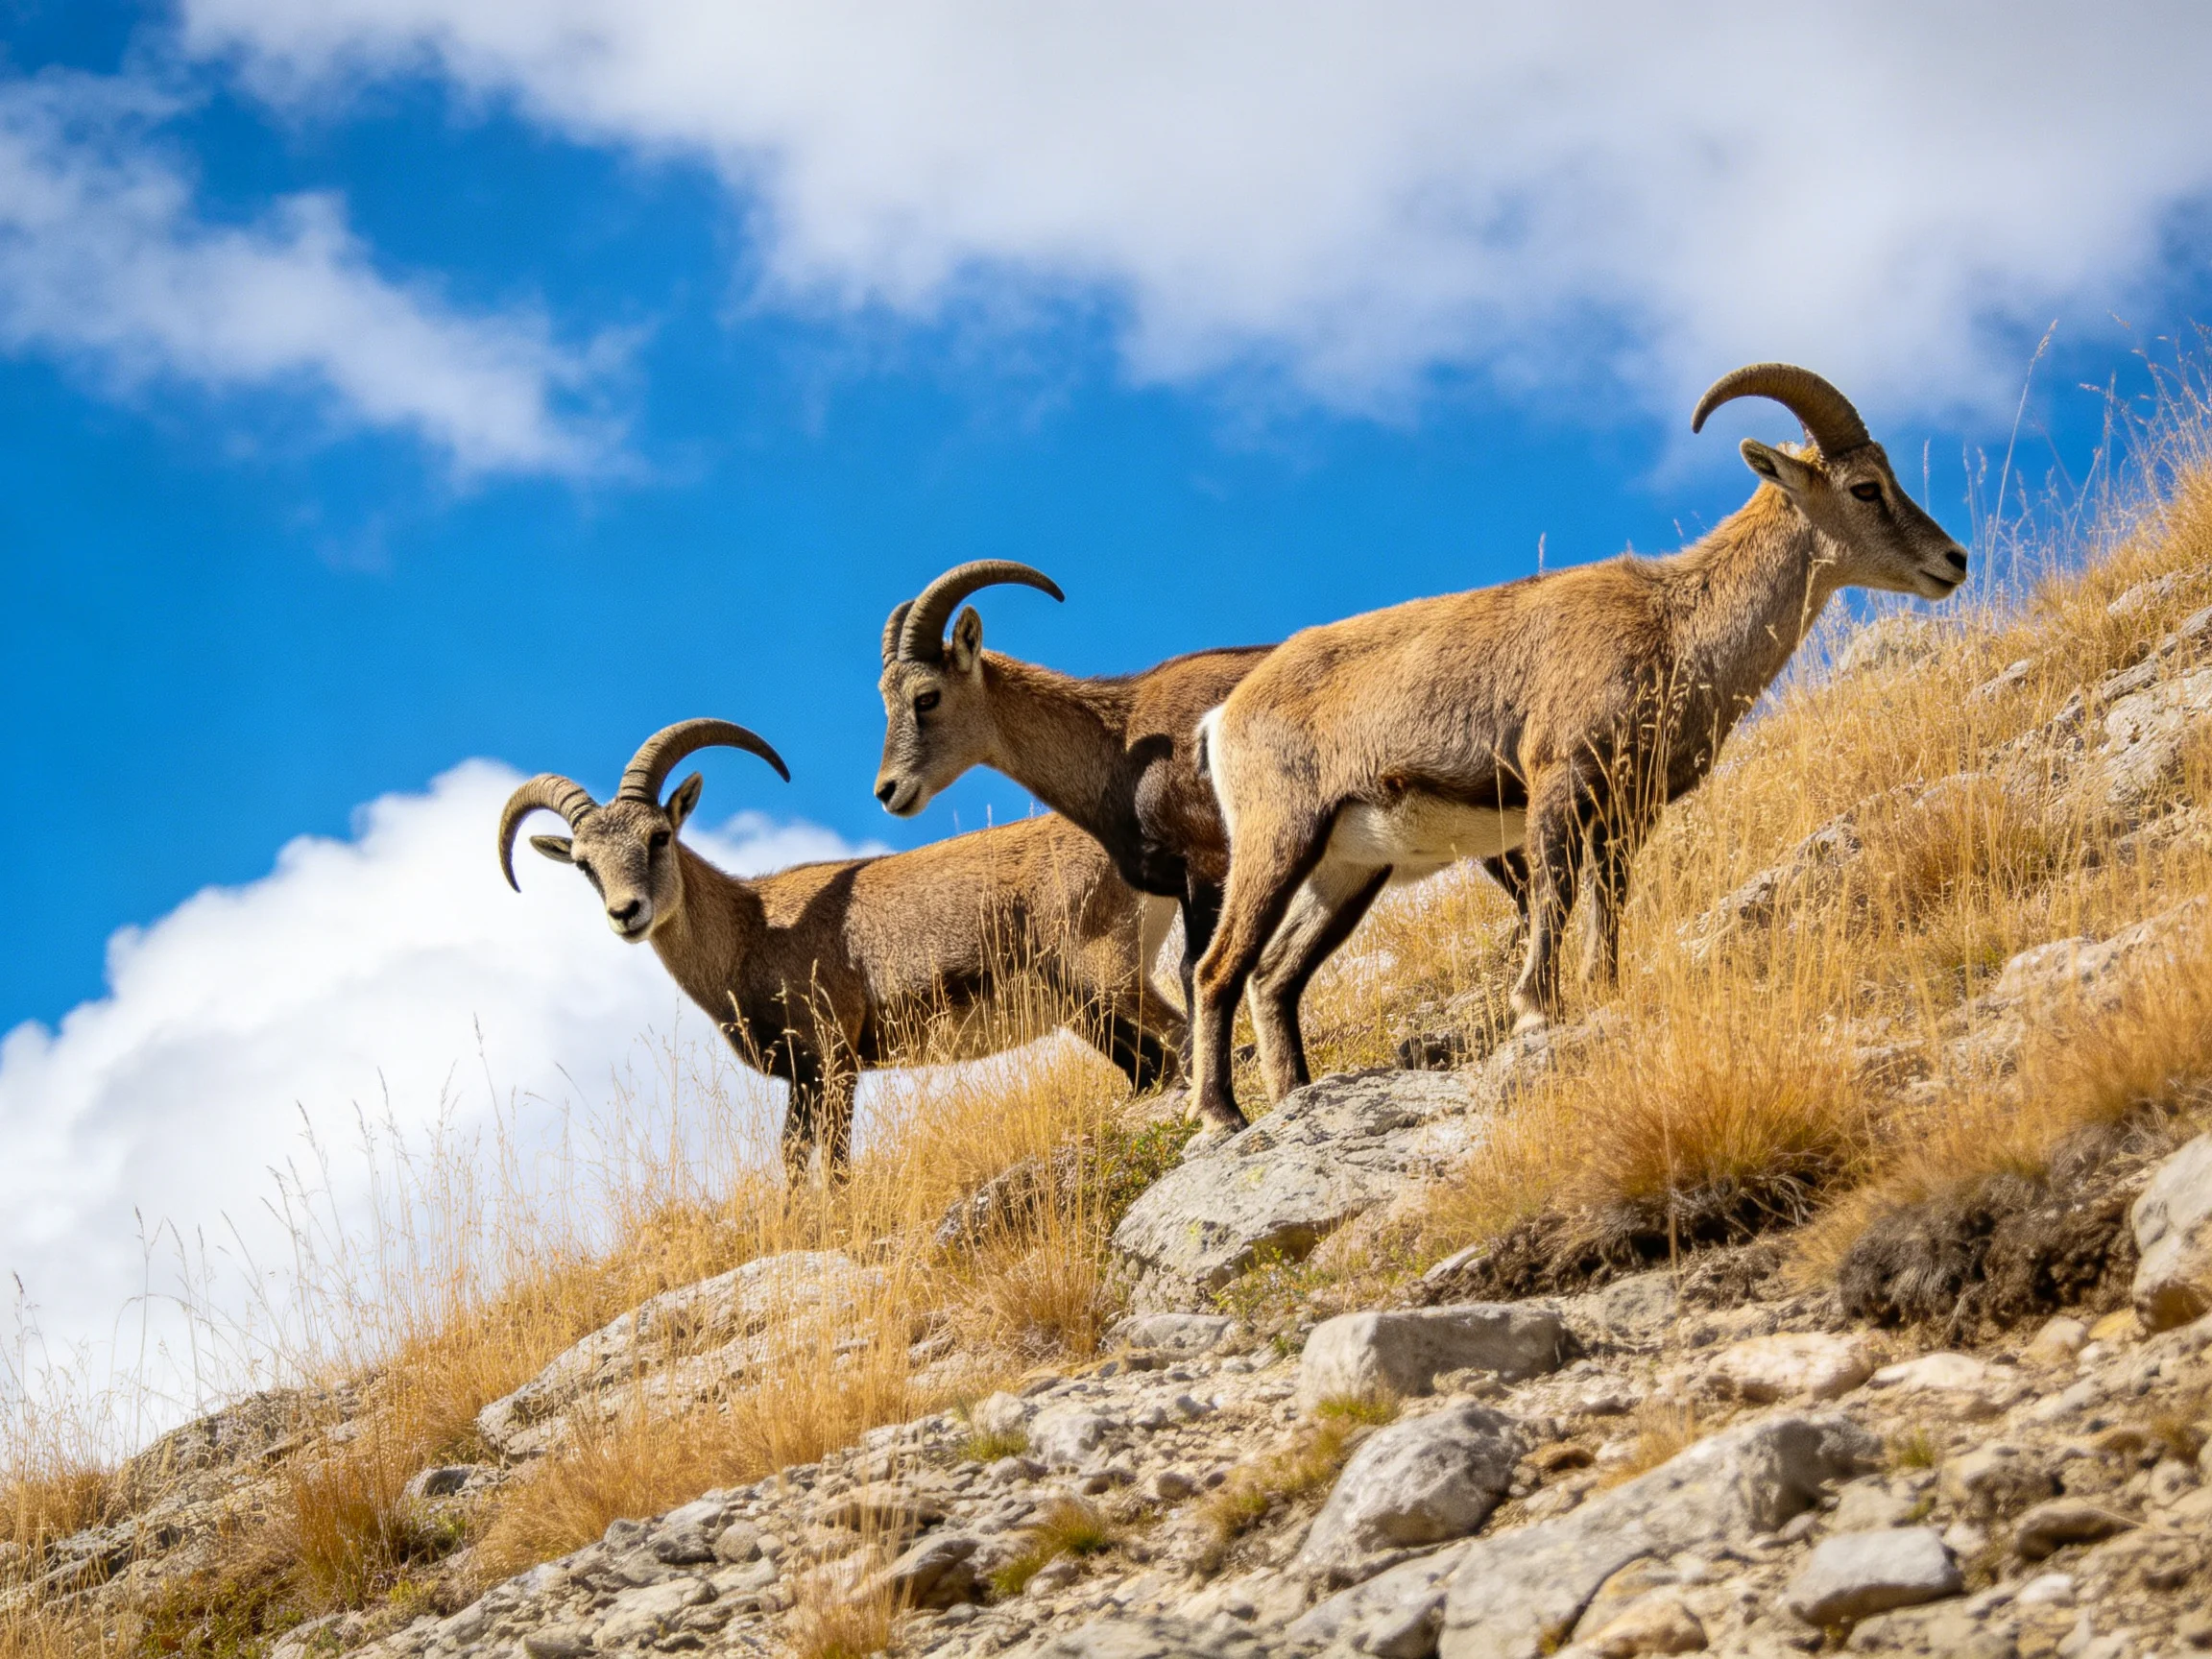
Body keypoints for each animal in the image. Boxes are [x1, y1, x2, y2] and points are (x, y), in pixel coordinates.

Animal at [501, 718, 1184, 1176]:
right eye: (584, 864)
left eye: (659, 836)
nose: (626, 913)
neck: (753, 931)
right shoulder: (801, 1078)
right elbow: (793, 1158)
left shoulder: (835, 1056)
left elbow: (832, 1163)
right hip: (1089, 1011)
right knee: (1148, 1069)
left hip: (1108, 971)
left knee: (1178, 1036)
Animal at [1187, 363, 1970, 1130]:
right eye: (1865, 488)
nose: (1955, 559)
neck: (1675, 630)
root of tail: (1223, 717)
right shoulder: (1560, 780)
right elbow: (1556, 894)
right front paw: (1538, 1009)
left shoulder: (1629, 808)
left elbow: (1610, 895)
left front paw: (1604, 987)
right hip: (1279, 837)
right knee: (1218, 967)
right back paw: (1222, 1114)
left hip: (1349, 869)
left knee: (1275, 976)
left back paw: (1293, 1098)